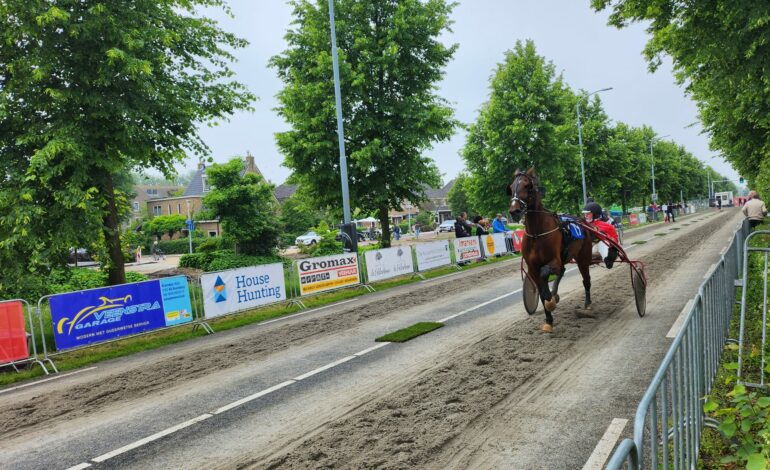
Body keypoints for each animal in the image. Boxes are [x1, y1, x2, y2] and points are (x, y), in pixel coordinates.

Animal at [510, 168, 592, 330]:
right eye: (510, 187)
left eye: (527, 185)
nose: (514, 211)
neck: (536, 234)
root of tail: (582, 221)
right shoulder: (533, 268)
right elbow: (541, 290)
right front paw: (548, 320)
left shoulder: (553, 261)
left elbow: (544, 276)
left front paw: (550, 300)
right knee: (562, 271)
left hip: (583, 257)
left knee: (586, 279)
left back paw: (587, 304)